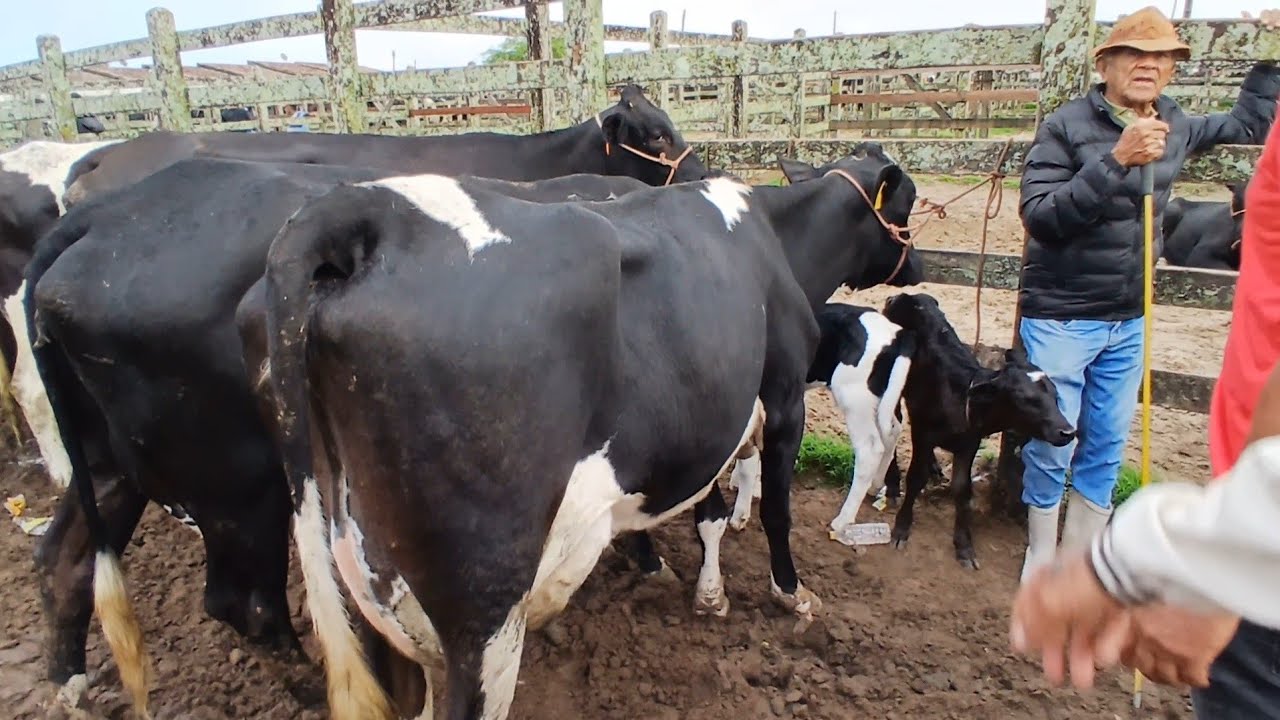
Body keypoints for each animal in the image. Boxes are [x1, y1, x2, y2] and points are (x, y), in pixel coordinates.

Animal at [20, 158, 656, 710]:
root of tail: (105, 215)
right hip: (239, 490)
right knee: (246, 606)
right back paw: (309, 687)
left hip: (112, 461)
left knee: (63, 557)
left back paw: (71, 685)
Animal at [224, 150, 924, 720]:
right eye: (907, 203)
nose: (916, 263)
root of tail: (354, 213)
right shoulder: (780, 400)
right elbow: (773, 508)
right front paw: (790, 593)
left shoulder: (702, 420)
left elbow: (708, 512)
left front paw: (704, 590)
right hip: (484, 609)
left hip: (361, 583)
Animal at [876, 293, 1075, 569]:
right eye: (1025, 398)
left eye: (1055, 395)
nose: (1068, 432)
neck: (961, 398)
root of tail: (904, 296)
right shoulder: (922, 431)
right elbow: (915, 478)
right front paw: (901, 529)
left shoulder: (968, 444)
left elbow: (962, 490)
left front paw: (964, 546)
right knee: (892, 421)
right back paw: (893, 484)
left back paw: (934, 467)